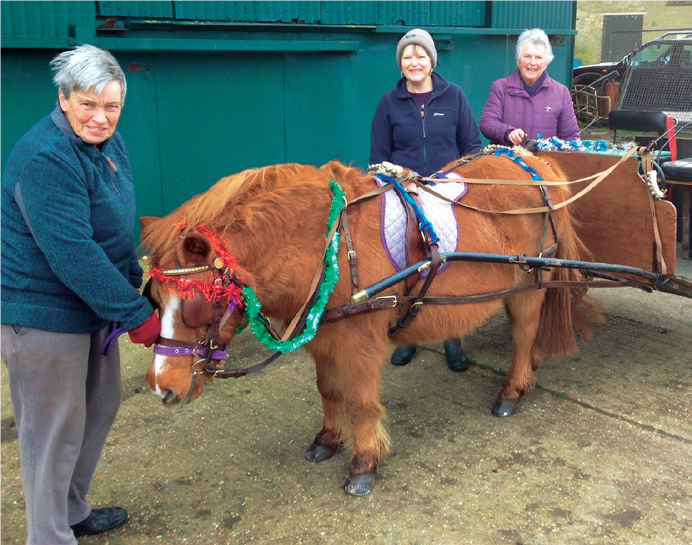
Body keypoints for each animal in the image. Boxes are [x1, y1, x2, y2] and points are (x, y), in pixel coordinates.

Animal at [139, 153, 596, 492]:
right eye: (154, 299)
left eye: (197, 305)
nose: (162, 387)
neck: (329, 245)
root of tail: (532, 162)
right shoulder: (323, 334)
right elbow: (328, 391)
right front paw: (328, 440)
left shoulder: (358, 340)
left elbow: (360, 403)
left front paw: (364, 464)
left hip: (532, 282)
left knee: (525, 334)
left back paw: (512, 390)